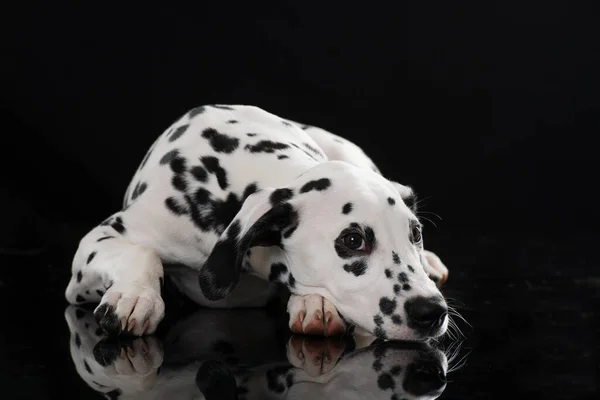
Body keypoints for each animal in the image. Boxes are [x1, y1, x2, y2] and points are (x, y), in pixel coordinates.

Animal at [65, 105, 450, 340]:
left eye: (415, 233)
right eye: (353, 240)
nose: (432, 311)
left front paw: (313, 302)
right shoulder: (96, 246)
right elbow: (140, 253)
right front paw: (135, 296)